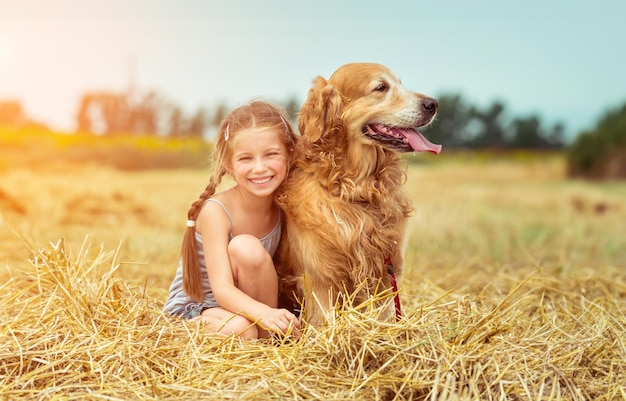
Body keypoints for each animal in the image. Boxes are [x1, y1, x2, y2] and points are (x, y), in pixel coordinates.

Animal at [276, 63, 442, 324]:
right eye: (381, 87)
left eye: (401, 83)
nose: (433, 104)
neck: (358, 189)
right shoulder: (318, 278)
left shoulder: (386, 272)